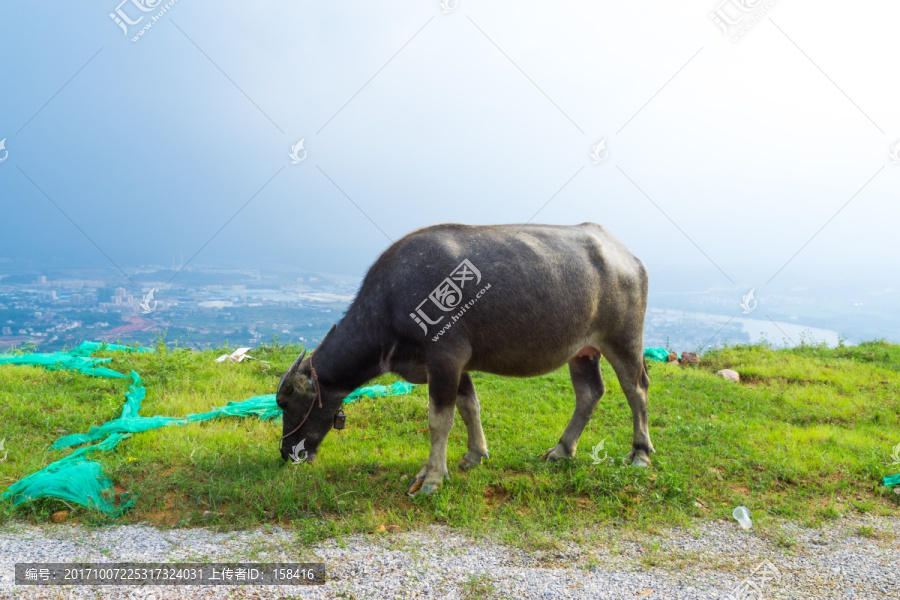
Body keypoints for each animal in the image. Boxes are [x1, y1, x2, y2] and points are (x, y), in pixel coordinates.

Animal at [276, 223, 652, 494]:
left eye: (286, 402)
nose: (287, 452)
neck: (391, 301)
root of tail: (628, 257)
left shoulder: (445, 358)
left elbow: (439, 420)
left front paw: (430, 478)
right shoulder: (455, 366)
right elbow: (469, 405)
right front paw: (474, 455)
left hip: (624, 339)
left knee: (637, 390)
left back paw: (640, 453)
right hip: (582, 351)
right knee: (590, 393)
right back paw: (561, 449)